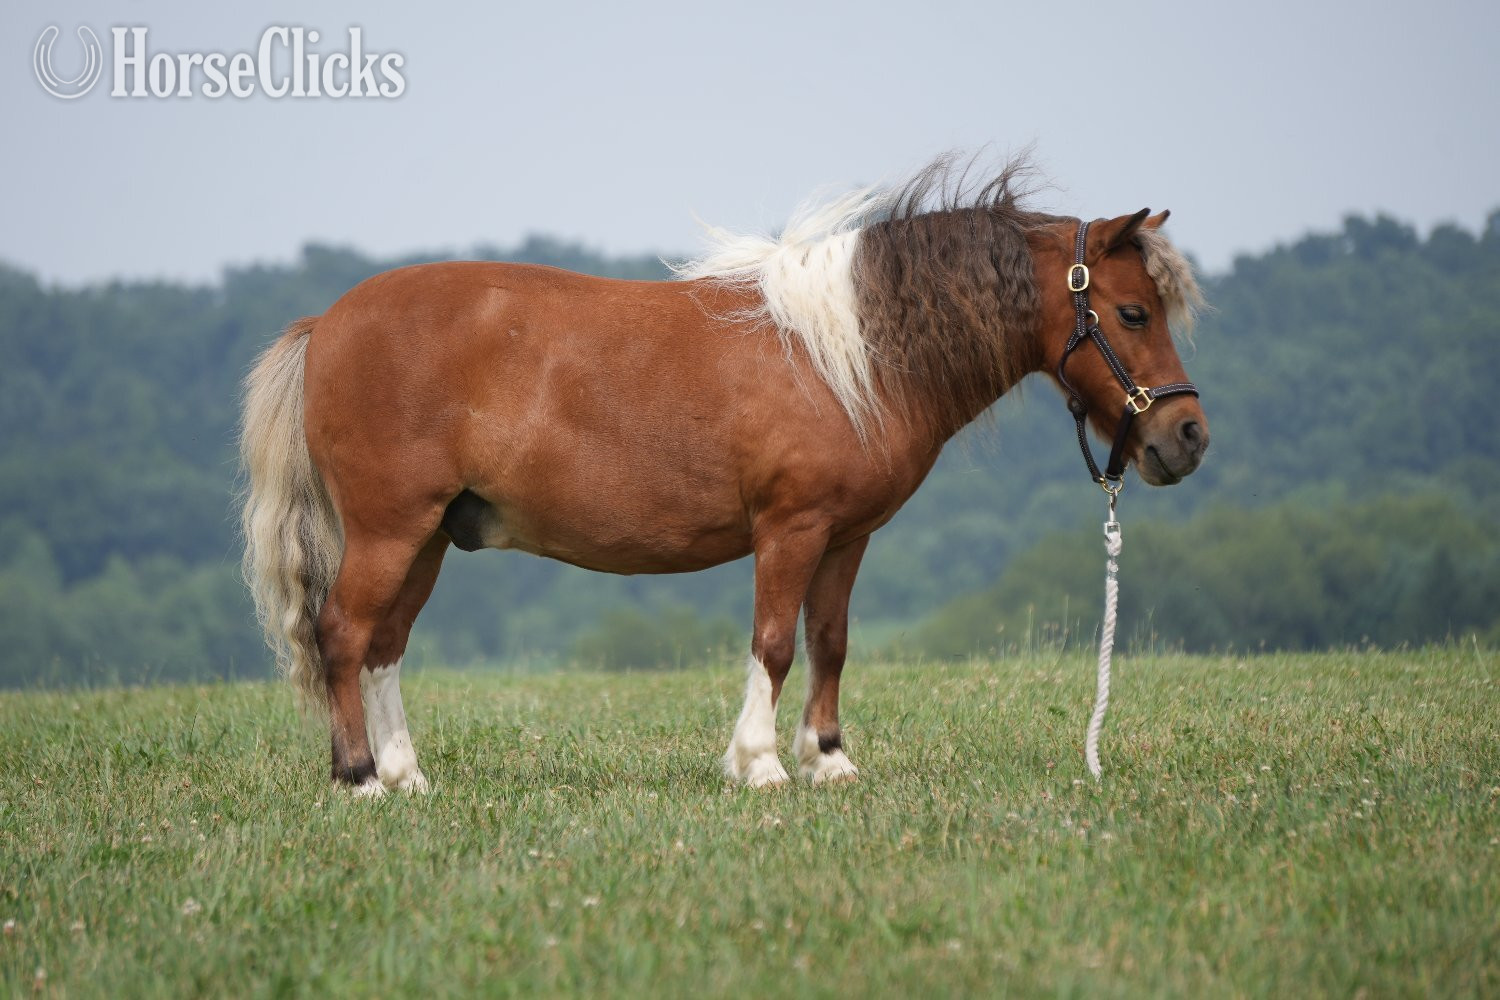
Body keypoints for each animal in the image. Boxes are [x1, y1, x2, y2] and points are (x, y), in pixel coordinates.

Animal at [239, 159, 1209, 795]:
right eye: (1131, 312)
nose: (1188, 438)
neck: (849, 357)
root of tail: (327, 324)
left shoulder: (846, 539)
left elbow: (830, 641)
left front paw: (831, 761)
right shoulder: (791, 528)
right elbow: (774, 643)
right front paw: (763, 765)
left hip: (432, 536)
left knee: (385, 644)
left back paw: (406, 777)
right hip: (390, 530)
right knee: (342, 633)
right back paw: (360, 778)